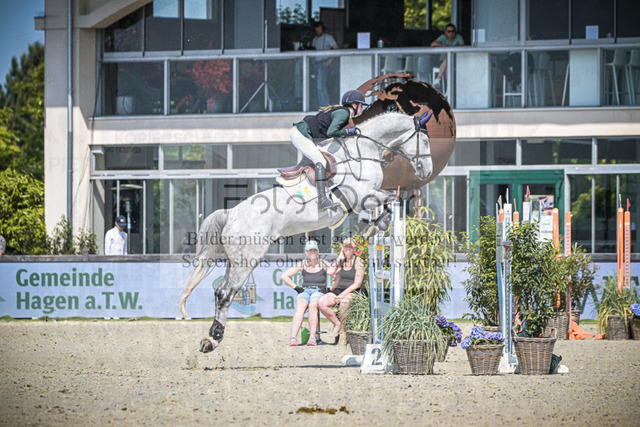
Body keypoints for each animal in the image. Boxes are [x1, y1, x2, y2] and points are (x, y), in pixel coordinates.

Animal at [179, 111, 433, 353]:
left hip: (235, 260)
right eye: (425, 141)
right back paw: (214, 339)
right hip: (247, 259)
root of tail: (231, 213)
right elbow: (390, 199)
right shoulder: (362, 195)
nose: (427, 172)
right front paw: (376, 223)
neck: (364, 151)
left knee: (220, 291)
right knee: (225, 294)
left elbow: (389, 199)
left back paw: (210, 338)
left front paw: (373, 223)